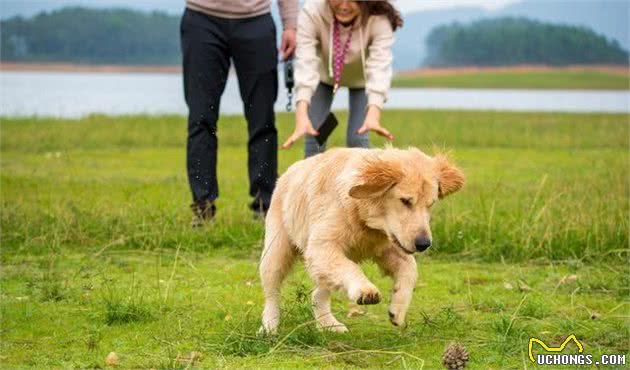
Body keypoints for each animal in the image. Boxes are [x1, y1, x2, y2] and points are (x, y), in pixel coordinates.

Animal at [260, 146, 466, 334]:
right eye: (405, 201)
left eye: (430, 204)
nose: (424, 244)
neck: (366, 221)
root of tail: (290, 171)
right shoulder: (322, 247)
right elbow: (350, 267)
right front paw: (365, 290)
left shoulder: (387, 246)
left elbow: (410, 268)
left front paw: (397, 309)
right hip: (276, 251)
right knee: (272, 292)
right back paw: (269, 326)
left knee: (318, 293)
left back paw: (328, 325)